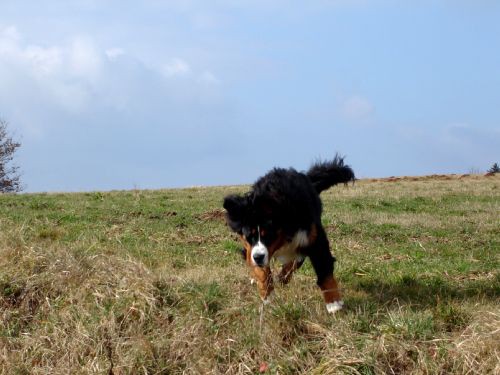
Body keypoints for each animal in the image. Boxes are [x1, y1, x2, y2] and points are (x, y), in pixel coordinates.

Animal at [223, 154, 356, 312]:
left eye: (269, 234)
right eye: (249, 236)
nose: (258, 257)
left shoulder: (314, 238)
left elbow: (324, 269)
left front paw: (334, 303)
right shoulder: (251, 249)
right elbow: (262, 272)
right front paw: (267, 297)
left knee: (296, 259)